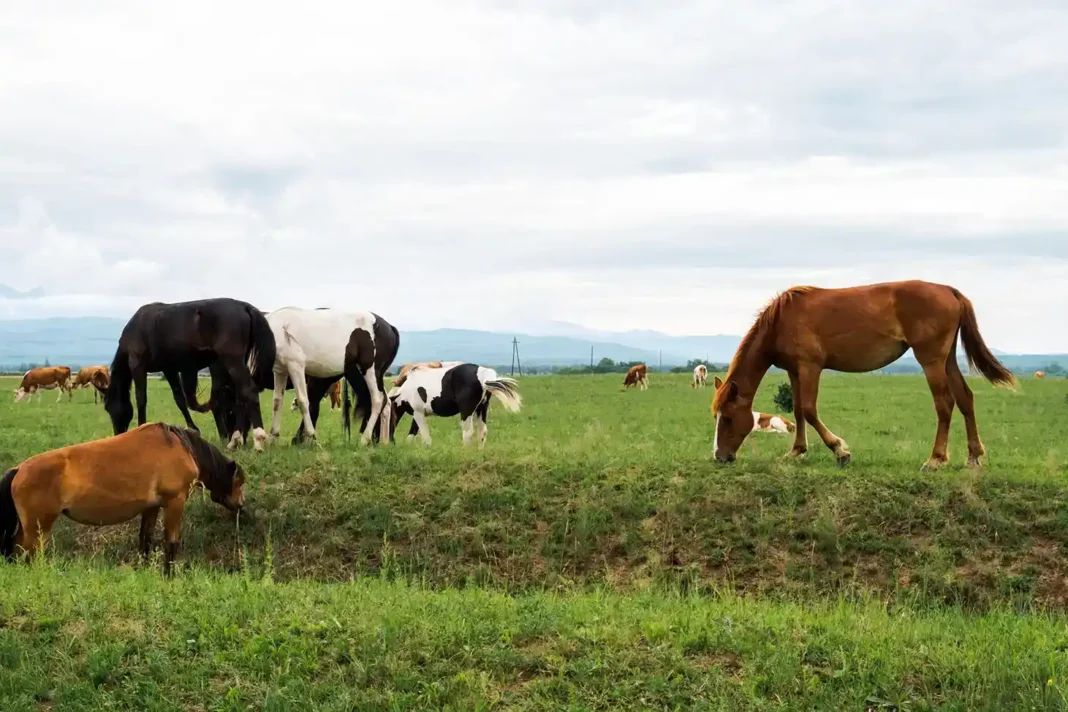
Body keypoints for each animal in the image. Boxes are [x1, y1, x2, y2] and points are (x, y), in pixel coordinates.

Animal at [0, 422, 245, 576]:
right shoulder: (175, 502)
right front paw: (169, 575)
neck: (183, 448)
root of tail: (19, 469)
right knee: (26, 554)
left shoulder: (151, 507)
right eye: (239, 482)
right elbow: (171, 541)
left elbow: (145, 539)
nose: (240, 505)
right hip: (38, 529)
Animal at [103, 298, 276, 451]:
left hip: (232, 361)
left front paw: (141, 428)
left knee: (249, 391)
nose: (118, 433)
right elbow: (179, 399)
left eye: (108, 408)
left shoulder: (138, 365)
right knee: (240, 398)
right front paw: (193, 429)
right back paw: (235, 440)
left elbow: (141, 399)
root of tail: (244, 306)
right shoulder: (169, 369)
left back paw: (258, 439)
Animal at [261, 307, 400, 445]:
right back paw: (382, 441)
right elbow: (277, 401)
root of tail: (389, 327)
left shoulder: (296, 367)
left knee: (377, 400)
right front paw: (272, 437)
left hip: (370, 371)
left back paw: (366, 439)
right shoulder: (280, 371)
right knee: (383, 402)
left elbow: (303, 401)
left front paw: (310, 436)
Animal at [387, 362, 522, 447]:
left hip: (467, 412)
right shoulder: (418, 414)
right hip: (481, 409)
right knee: (482, 431)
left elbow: (425, 435)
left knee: (468, 433)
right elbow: (412, 433)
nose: (390, 442)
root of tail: (483, 374)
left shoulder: (418, 413)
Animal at [711, 280, 1015, 470]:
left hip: (931, 359)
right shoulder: (795, 371)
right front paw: (796, 451)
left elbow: (808, 410)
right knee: (965, 398)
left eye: (728, 418)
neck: (781, 321)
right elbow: (797, 410)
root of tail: (950, 291)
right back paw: (973, 456)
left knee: (945, 403)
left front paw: (840, 450)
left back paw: (936, 459)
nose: (719, 457)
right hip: (947, 359)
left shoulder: (810, 367)